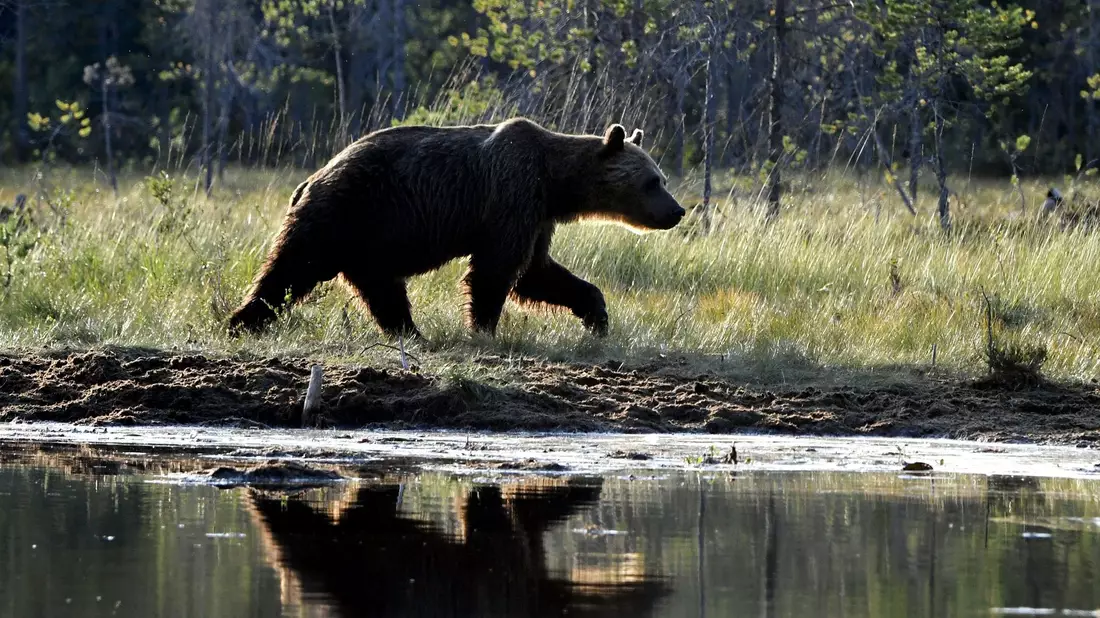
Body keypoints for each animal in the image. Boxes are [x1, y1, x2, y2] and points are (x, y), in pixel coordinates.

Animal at [227, 117, 685, 340]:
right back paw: (243, 320)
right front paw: (483, 328)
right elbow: (498, 270)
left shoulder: (536, 215)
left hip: (368, 240)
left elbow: (538, 271)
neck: (556, 182)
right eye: (653, 181)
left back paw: (411, 332)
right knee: (291, 268)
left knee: (381, 288)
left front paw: (597, 316)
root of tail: (309, 179)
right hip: (345, 212)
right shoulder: (511, 193)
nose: (677, 211)